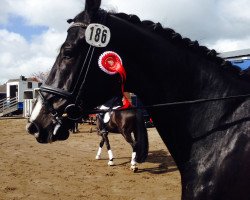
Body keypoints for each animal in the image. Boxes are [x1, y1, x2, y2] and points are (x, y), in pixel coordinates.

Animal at [26, 0, 250, 199]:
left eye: (68, 52)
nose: (34, 124)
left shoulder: (105, 130)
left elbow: (106, 142)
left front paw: (108, 159)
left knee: (133, 145)